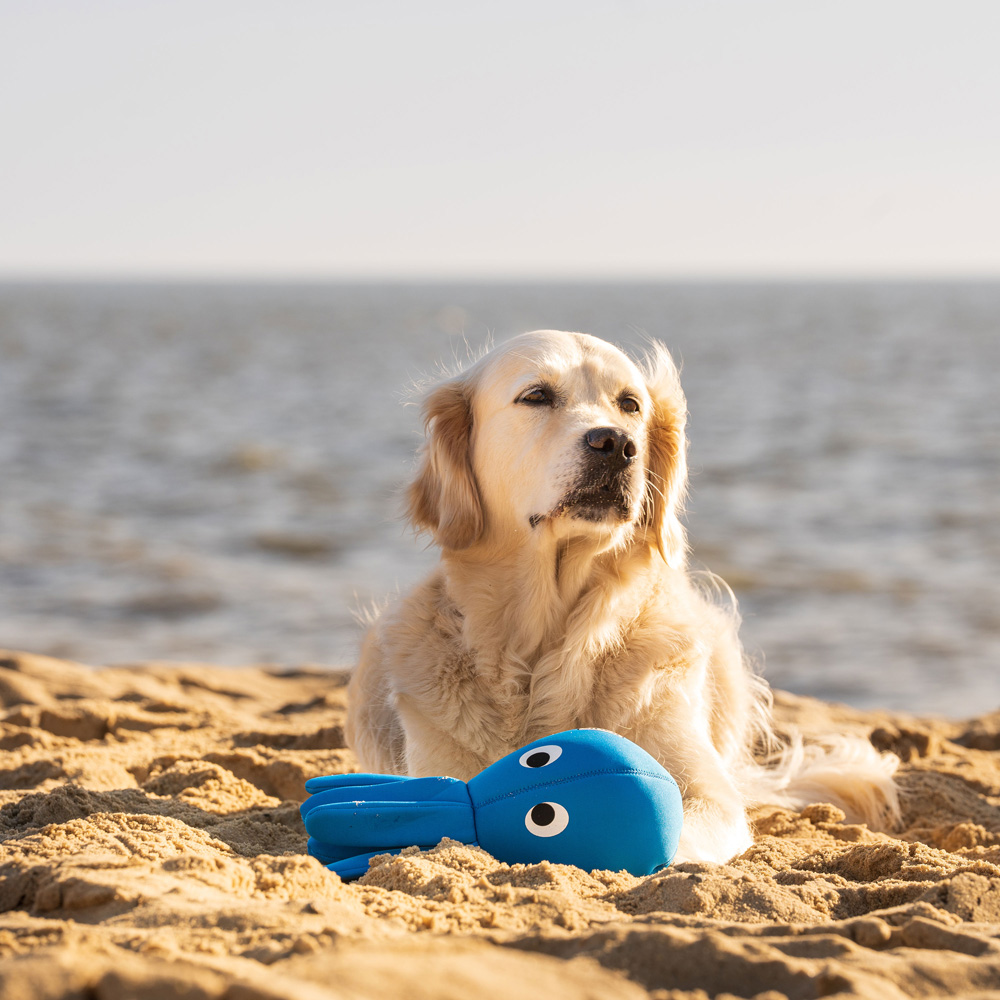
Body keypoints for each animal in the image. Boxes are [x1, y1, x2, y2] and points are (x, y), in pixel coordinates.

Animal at [346, 332, 900, 864]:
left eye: (630, 404)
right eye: (536, 396)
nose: (615, 443)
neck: (553, 644)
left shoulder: (709, 790)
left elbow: (681, 830)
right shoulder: (441, 768)